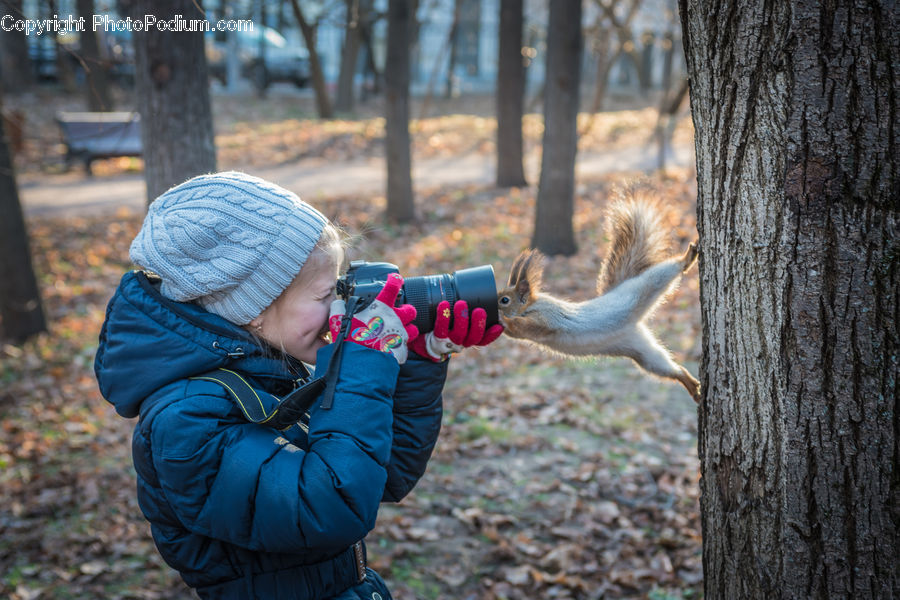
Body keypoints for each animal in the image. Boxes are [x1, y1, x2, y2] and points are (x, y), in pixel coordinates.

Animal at [497, 192, 701, 403]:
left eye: (504, 300)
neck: (529, 307)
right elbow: (517, 333)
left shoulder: (545, 318)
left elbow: (526, 327)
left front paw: (503, 319)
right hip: (644, 354)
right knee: (667, 368)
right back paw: (691, 385)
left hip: (641, 288)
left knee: (663, 273)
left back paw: (686, 259)